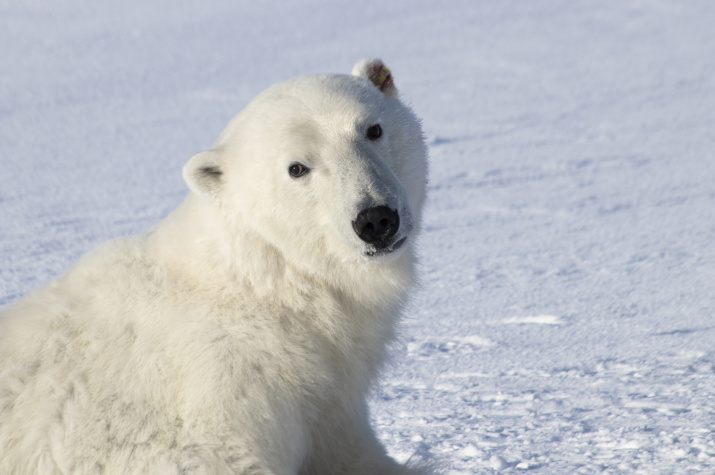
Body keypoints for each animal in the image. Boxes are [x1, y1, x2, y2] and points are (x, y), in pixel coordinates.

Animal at [0, 59, 430, 475]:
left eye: (372, 129)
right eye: (297, 168)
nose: (375, 219)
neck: (263, 283)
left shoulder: (327, 402)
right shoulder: (219, 385)